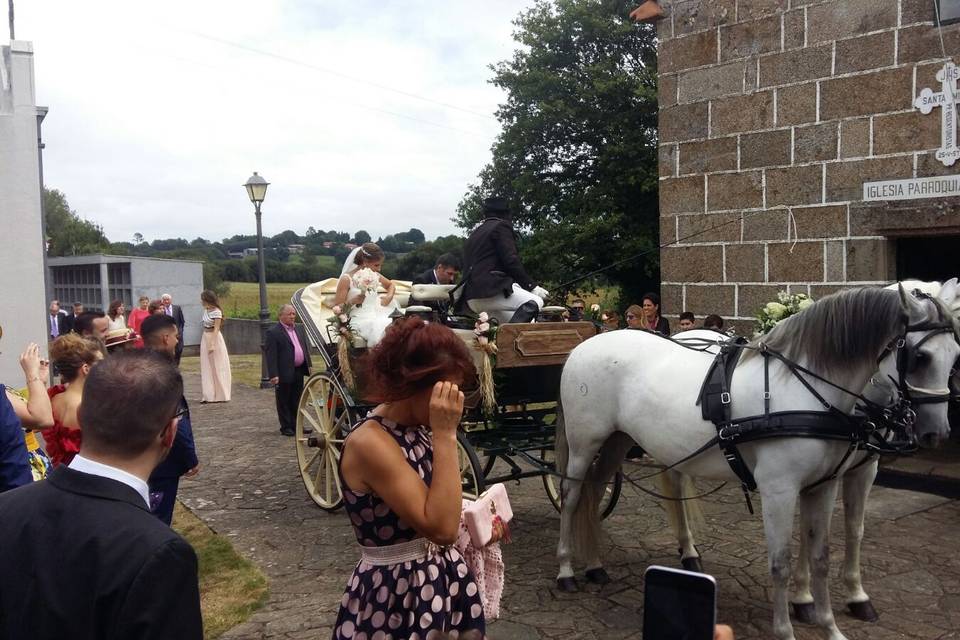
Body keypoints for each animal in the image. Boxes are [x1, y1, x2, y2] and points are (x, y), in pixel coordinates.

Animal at [556, 288, 960, 640]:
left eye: (955, 355)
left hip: (619, 441)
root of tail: (586, 345)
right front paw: (786, 630)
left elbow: (821, 556)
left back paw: (598, 564)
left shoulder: (824, 485)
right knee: (573, 497)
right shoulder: (779, 490)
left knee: (597, 491)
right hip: (584, 444)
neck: (807, 392)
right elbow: (780, 562)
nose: (936, 432)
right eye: (921, 357)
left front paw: (830, 627)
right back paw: (566, 571)